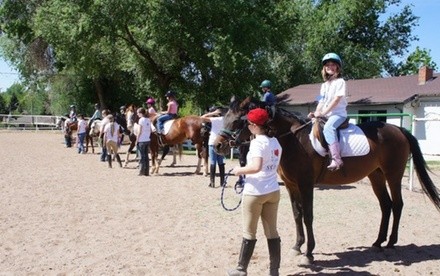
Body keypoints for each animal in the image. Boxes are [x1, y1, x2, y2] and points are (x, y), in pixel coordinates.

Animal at [214, 96, 440, 266]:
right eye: (225, 118)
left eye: (238, 121)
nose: (217, 146)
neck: (294, 139)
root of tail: (399, 130)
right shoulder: (291, 186)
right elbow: (297, 215)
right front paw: (297, 246)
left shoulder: (306, 185)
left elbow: (308, 216)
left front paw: (309, 253)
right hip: (376, 175)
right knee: (386, 205)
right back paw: (378, 242)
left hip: (393, 174)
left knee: (398, 204)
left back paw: (391, 242)